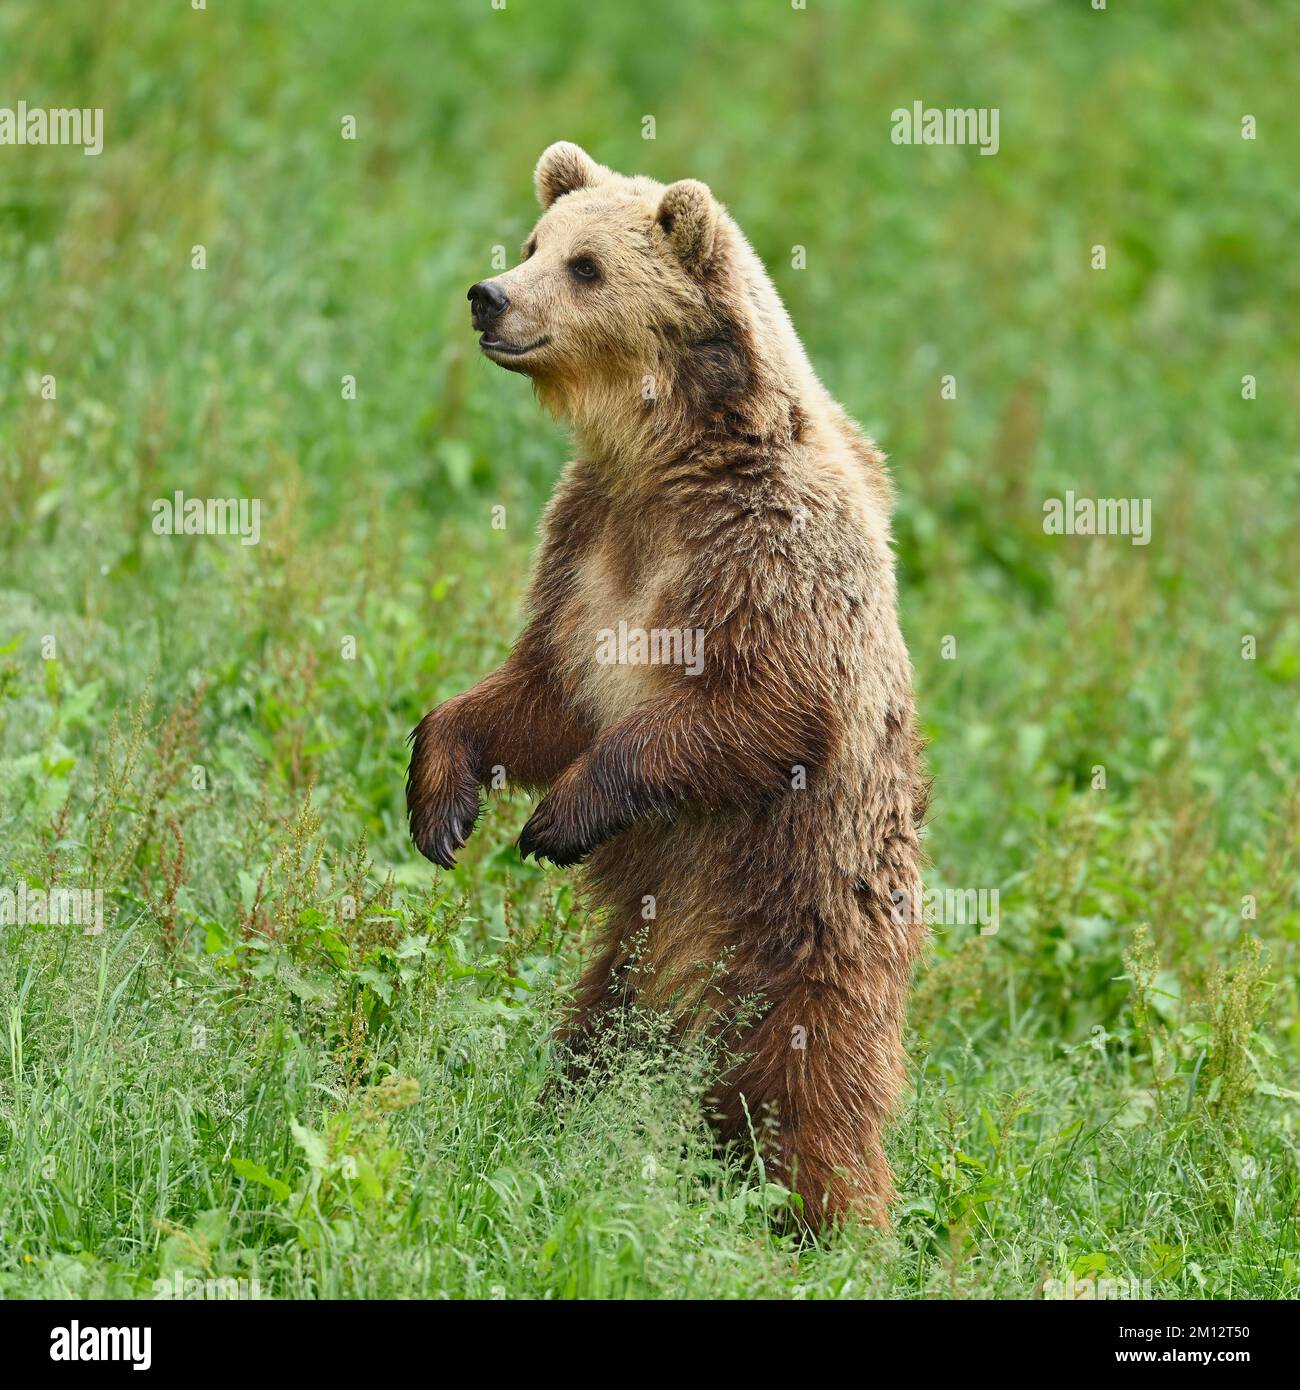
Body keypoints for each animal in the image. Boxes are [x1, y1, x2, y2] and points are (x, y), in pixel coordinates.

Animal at [408, 142, 927, 1231]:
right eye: (534, 242)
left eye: (587, 266)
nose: (487, 296)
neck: (664, 459)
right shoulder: (588, 550)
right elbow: (540, 693)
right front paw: (443, 801)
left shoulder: (767, 559)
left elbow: (761, 712)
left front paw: (558, 818)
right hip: (641, 957)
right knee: (597, 1042)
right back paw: (555, 1127)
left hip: (805, 931)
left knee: (810, 1093)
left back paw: (830, 1224)